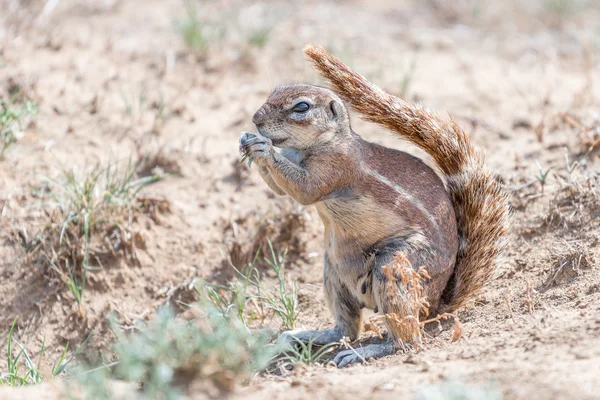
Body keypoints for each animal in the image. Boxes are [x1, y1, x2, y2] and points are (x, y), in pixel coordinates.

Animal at [237, 44, 508, 368]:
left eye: (301, 107)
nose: (255, 119)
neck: (319, 145)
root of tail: (435, 304)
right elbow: (280, 189)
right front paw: (246, 140)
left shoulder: (338, 167)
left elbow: (305, 190)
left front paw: (263, 148)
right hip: (333, 272)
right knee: (347, 328)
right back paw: (306, 335)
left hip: (394, 267)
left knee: (407, 341)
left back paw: (364, 352)